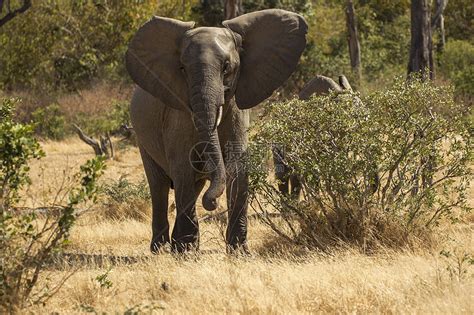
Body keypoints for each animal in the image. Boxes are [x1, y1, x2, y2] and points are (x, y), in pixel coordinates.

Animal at [125, 9, 308, 254]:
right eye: (182, 69)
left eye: (227, 67)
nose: (212, 203)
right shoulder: (178, 114)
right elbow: (183, 165)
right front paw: (186, 252)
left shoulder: (238, 112)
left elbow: (237, 166)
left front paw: (239, 252)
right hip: (142, 138)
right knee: (160, 186)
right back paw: (160, 249)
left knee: (191, 186)